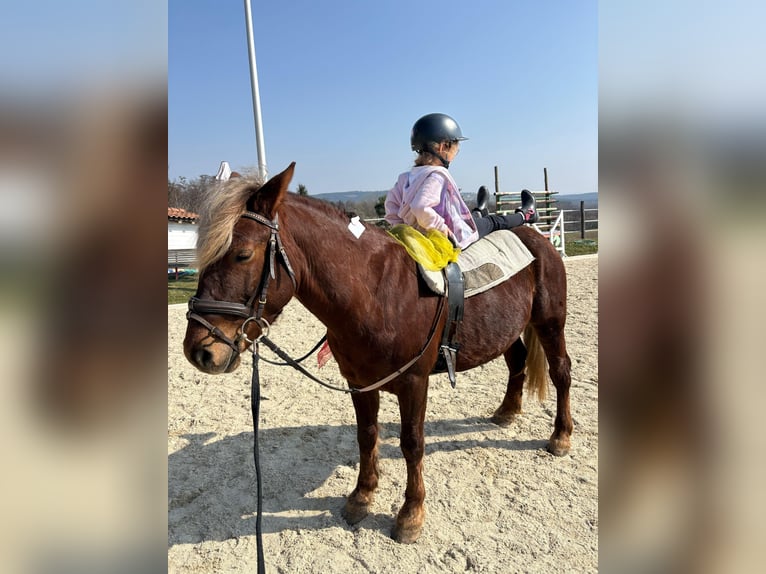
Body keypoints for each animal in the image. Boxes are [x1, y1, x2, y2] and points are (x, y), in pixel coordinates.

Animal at [183, 162, 572, 544]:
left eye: (243, 254)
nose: (198, 351)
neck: (377, 293)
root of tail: (538, 239)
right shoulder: (359, 383)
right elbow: (366, 435)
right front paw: (362, 496)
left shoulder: (414, 383)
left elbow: (412, 443)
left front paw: (410, 515)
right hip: (507, 331)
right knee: (517, 360)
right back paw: (507, 412)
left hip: (550, 323)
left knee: (561, 371)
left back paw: (561, 436)